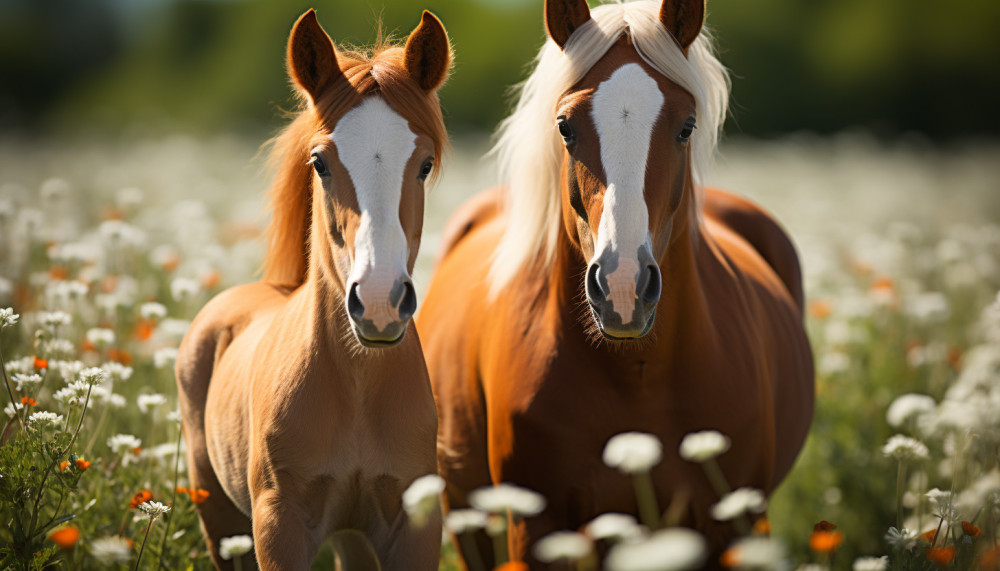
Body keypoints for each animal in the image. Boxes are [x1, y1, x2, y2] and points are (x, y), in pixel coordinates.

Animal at [175, 9, 451, 570]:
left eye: (424, 164)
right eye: (320, 162)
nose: (381, 303)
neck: (357, 388)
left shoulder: (413, 523)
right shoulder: (279, 525)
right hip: (220, 521)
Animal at [417, 0, 814, 566]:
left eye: (687, 126)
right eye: (565, 127)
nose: (623, 289)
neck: (636, 376)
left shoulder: (734, 523)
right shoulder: (534, 528)